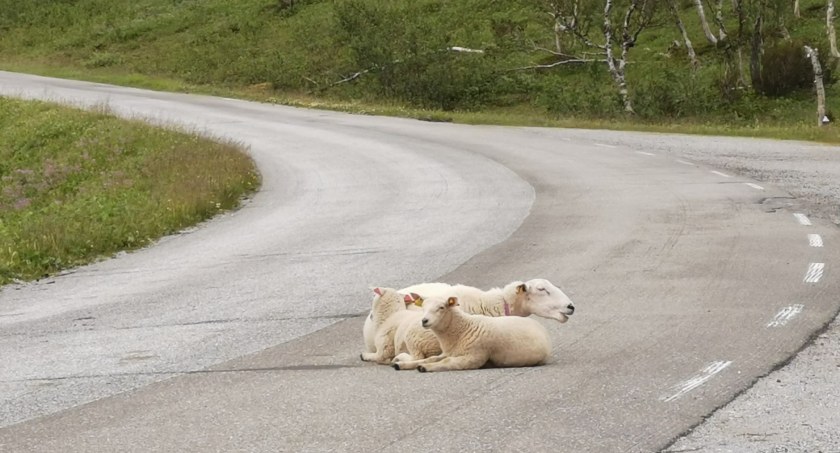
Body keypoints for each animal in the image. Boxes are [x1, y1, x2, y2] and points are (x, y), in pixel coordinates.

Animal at [392, 294, 556, 372]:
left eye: (441, 307)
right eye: (423, 307)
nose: (424, 320)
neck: (463, 329)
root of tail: (539, 326)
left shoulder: (473, 357)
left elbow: (447, 363)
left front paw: (425, 368)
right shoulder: (448, 352)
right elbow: (431, 358)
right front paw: (402, 364)